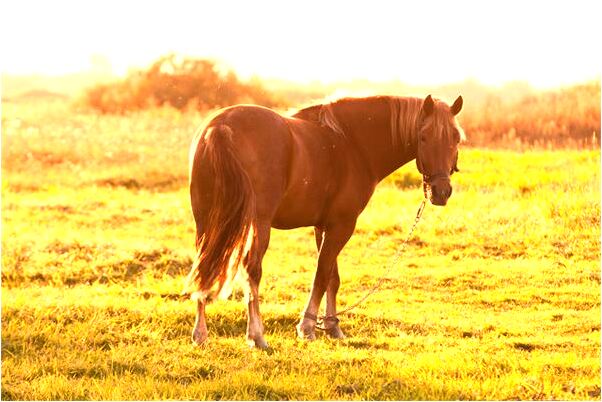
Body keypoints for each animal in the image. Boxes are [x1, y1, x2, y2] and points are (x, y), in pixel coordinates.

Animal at [183, 92, 464, 348]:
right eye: (423, 137)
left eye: (455, 137)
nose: (441, 192)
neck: (351, 144)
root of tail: (220, 128)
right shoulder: (343, 225)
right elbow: (321, 273)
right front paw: (307, 327)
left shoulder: (324, 225)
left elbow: (332, 277)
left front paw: (332, 326)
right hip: (257, 223)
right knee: (251, 270)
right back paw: (256, 336)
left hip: (206, 221)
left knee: (203, 265)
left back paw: (200, 334)